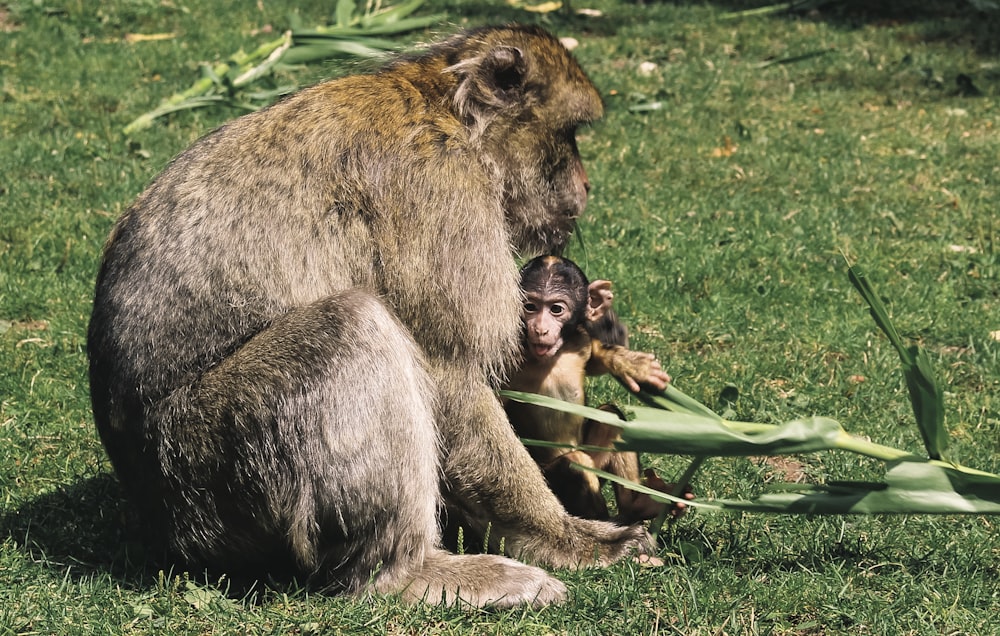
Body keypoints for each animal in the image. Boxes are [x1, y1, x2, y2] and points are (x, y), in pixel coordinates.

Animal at [90, 27, 644, 608]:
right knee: (349, 326)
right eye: (569, 133)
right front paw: (567, 538)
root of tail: (160, 521)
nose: (586, 184)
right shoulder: (442, 197)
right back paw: (407, 570)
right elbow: (451, 374)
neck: (450, 115)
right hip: (206, 465)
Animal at [504, 256, 676, 524]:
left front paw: (628, 363)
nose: (540, 329)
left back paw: (638, 505)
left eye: (556, 309)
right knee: (574, 465)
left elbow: (595, 357)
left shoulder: (580, 341)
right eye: (530, 307)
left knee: (610, 418)